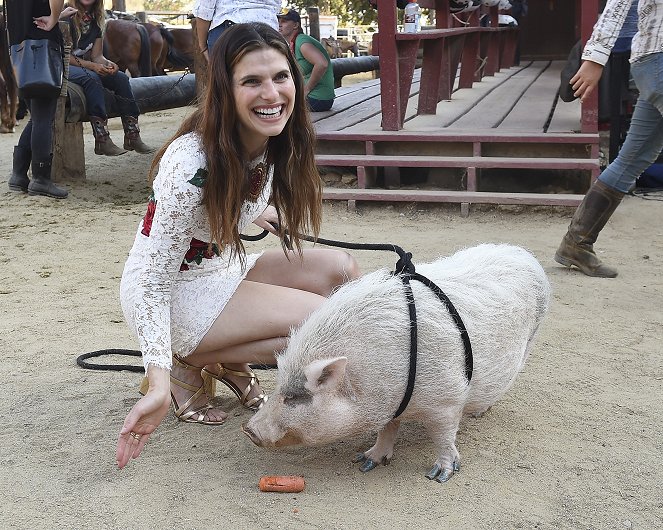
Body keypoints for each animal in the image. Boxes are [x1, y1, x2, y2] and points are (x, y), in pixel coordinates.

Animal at [243, 241, 548, 480]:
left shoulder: (447, 398)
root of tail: (525, 254)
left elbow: (444, 434)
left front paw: (439, 475)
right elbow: (387, 429)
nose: (248, 429)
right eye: (280, 388)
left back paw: (478, 413)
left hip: (532, 337)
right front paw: (364, 462)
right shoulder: (391, 402)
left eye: (295, 398)